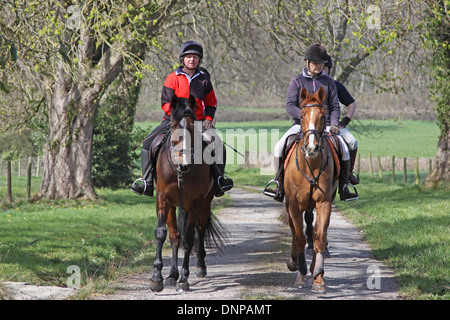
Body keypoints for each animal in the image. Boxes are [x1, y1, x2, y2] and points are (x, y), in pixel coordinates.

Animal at [150, 94, 225, 292]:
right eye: (174, 125)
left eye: (192, 126)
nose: (184, 164)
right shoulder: (163, 198)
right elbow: (162, 233)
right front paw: (157, 278)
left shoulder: (196, 201)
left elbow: (189, 238)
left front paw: (184, 279)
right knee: (175, 236)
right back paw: (171, 275)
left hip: (205, 203)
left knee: (200, 228)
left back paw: (200, 266)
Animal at [284, 87, 338, 292]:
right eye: (302, 115)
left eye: (323, 116)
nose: (312, 148)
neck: (311, 165)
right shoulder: (293, 205)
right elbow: (299, 236)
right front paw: (300, 274)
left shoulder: (324, 203)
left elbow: (319, 237)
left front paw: (318, 277)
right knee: (295, 230)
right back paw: (294, 263)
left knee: (315, 232)